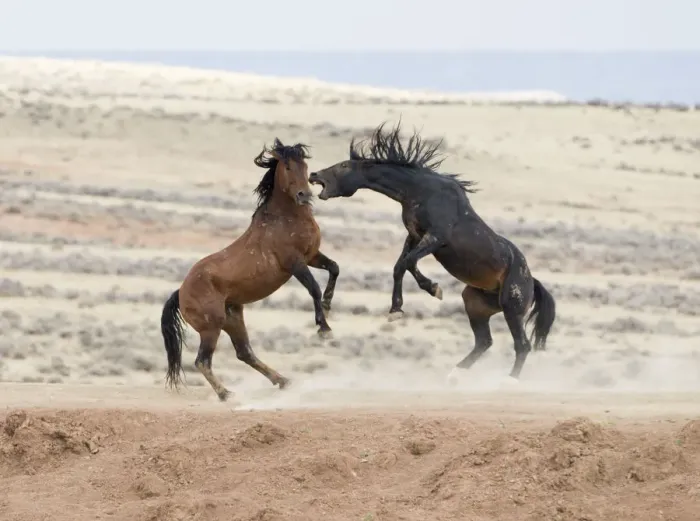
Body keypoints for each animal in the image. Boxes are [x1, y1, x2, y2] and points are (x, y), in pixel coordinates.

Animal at [160, 138, 339, 401]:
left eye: (305, 166)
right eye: (287, 166)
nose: (304, 195)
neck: (285, 219)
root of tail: (180, 293)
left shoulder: (312, 256)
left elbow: (334, 269)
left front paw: (327, 306)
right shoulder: (295, 263)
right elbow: (313, 288)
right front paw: (324, 329)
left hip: (233, 319)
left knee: (244, 352)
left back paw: (283, 380)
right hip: (211, 327)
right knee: (203, 361)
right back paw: (226, 394)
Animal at [308, 123, 555, 380]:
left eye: (344, 166)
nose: (314, 175)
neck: (421, 191)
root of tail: (532, 282)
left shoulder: (435, 238)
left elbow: (406, 263)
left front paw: (408, 303)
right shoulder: (415, 236)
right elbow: (402, 265)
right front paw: (420, 295)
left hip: (511, 308)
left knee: (521, 345)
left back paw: (510, 380)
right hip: (474, 304)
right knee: (484, 342)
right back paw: (455, 373)